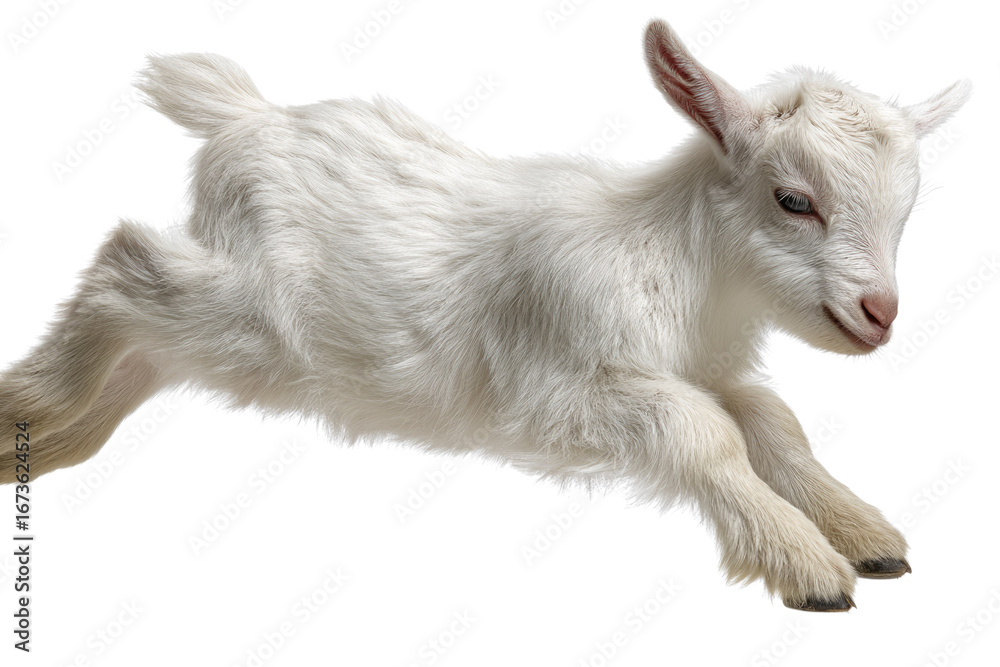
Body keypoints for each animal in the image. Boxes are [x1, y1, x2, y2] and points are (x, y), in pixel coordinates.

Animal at [0, 19, 969, 611]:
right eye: (793, 199)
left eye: (906, 211)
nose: (879, 313)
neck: (679, 267)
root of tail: (247, 116)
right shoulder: (560, 388)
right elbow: (705, 433)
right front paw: (806, 563)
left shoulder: (704, 364)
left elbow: (771, 419)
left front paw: (865, 534)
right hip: (257, 316)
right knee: (126, 266)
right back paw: (30, 404)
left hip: (229, 334)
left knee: (144, 351)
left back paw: (38, 448)